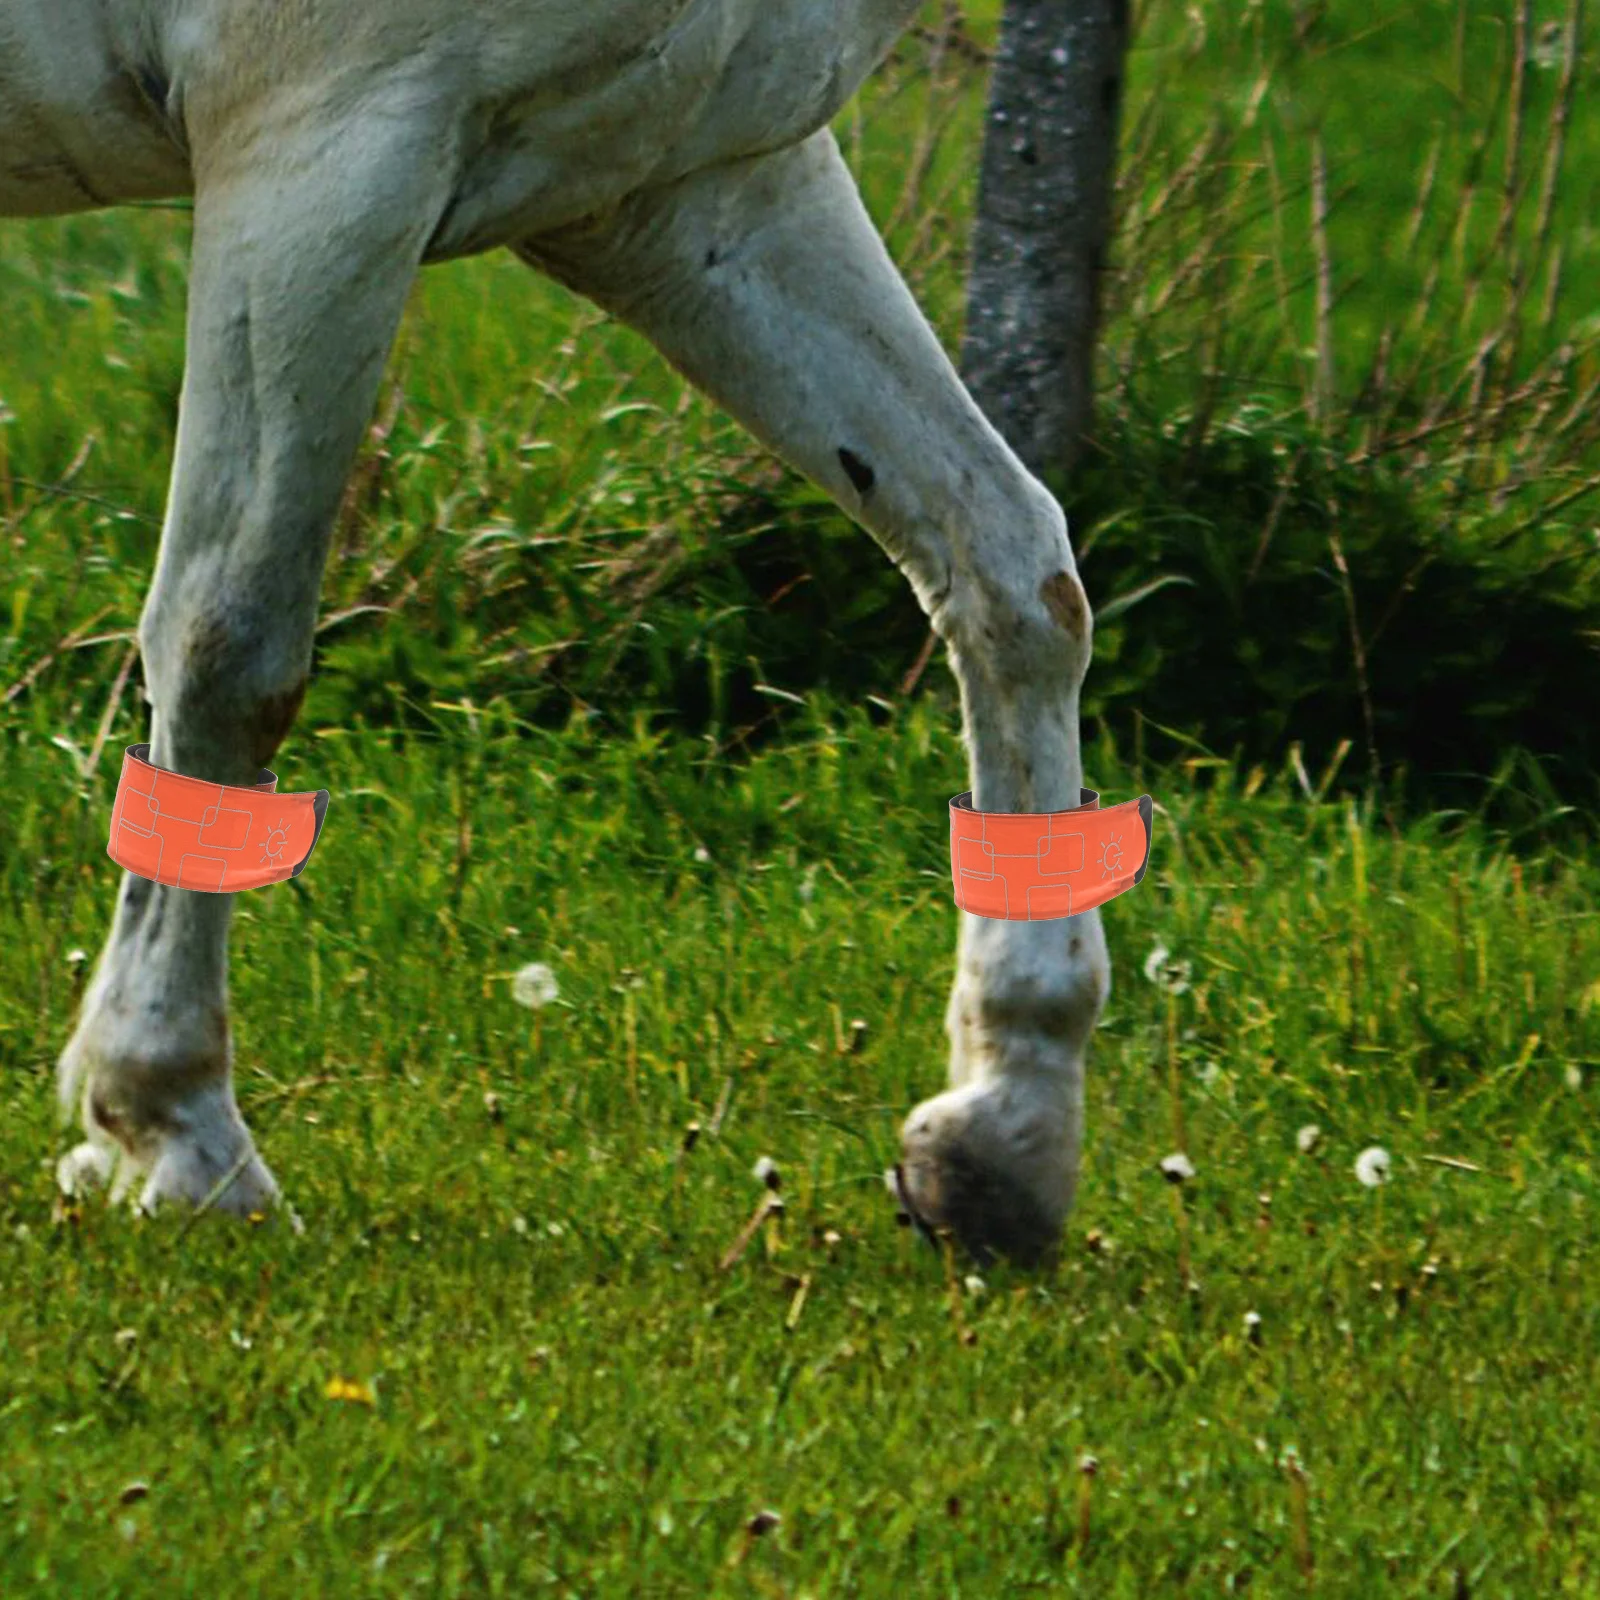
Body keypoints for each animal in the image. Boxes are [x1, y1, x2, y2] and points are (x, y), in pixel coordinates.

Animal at [4, 0, 1111, 1264]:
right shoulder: (322, 156)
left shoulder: (692, 188)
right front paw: (177, 1127)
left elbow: (1012, 572)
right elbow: (229, 649)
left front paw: (1002, 1135)